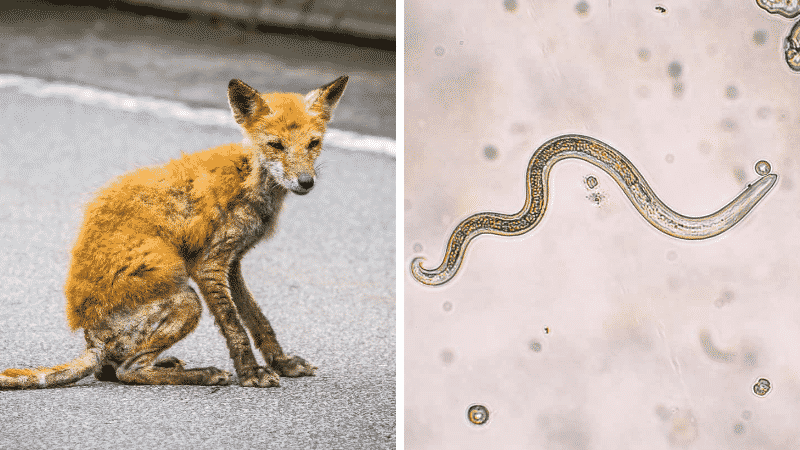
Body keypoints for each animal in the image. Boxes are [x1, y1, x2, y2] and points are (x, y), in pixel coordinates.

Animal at [0, 75, 348, 388]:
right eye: (275, 145)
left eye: (313, 144)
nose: (306, 182)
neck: (249, 182)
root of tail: (91, 340)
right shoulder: (208, 265)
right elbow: (234, 326)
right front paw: (251, 374)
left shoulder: (232, 263)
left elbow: (258, 320)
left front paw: (283, 363)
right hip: (186, 301)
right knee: (128, 371)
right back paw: (202, 374)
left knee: (110, 370)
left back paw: (169, 365)